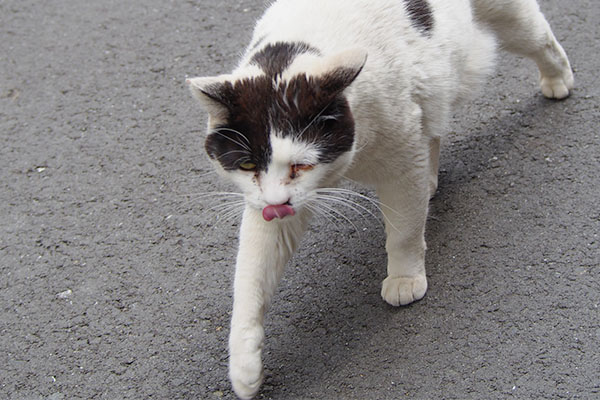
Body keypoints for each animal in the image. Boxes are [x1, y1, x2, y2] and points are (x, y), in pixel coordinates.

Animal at [186, 0, 572, 396]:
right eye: (248, 164)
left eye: (301, 164)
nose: (276, 205)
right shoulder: (267, 205)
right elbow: (250, 277)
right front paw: (244, 367)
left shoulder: (401, 158)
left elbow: (403, 232)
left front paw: (404, 279)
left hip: (506, 17)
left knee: (539, 37)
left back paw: (558, 79)